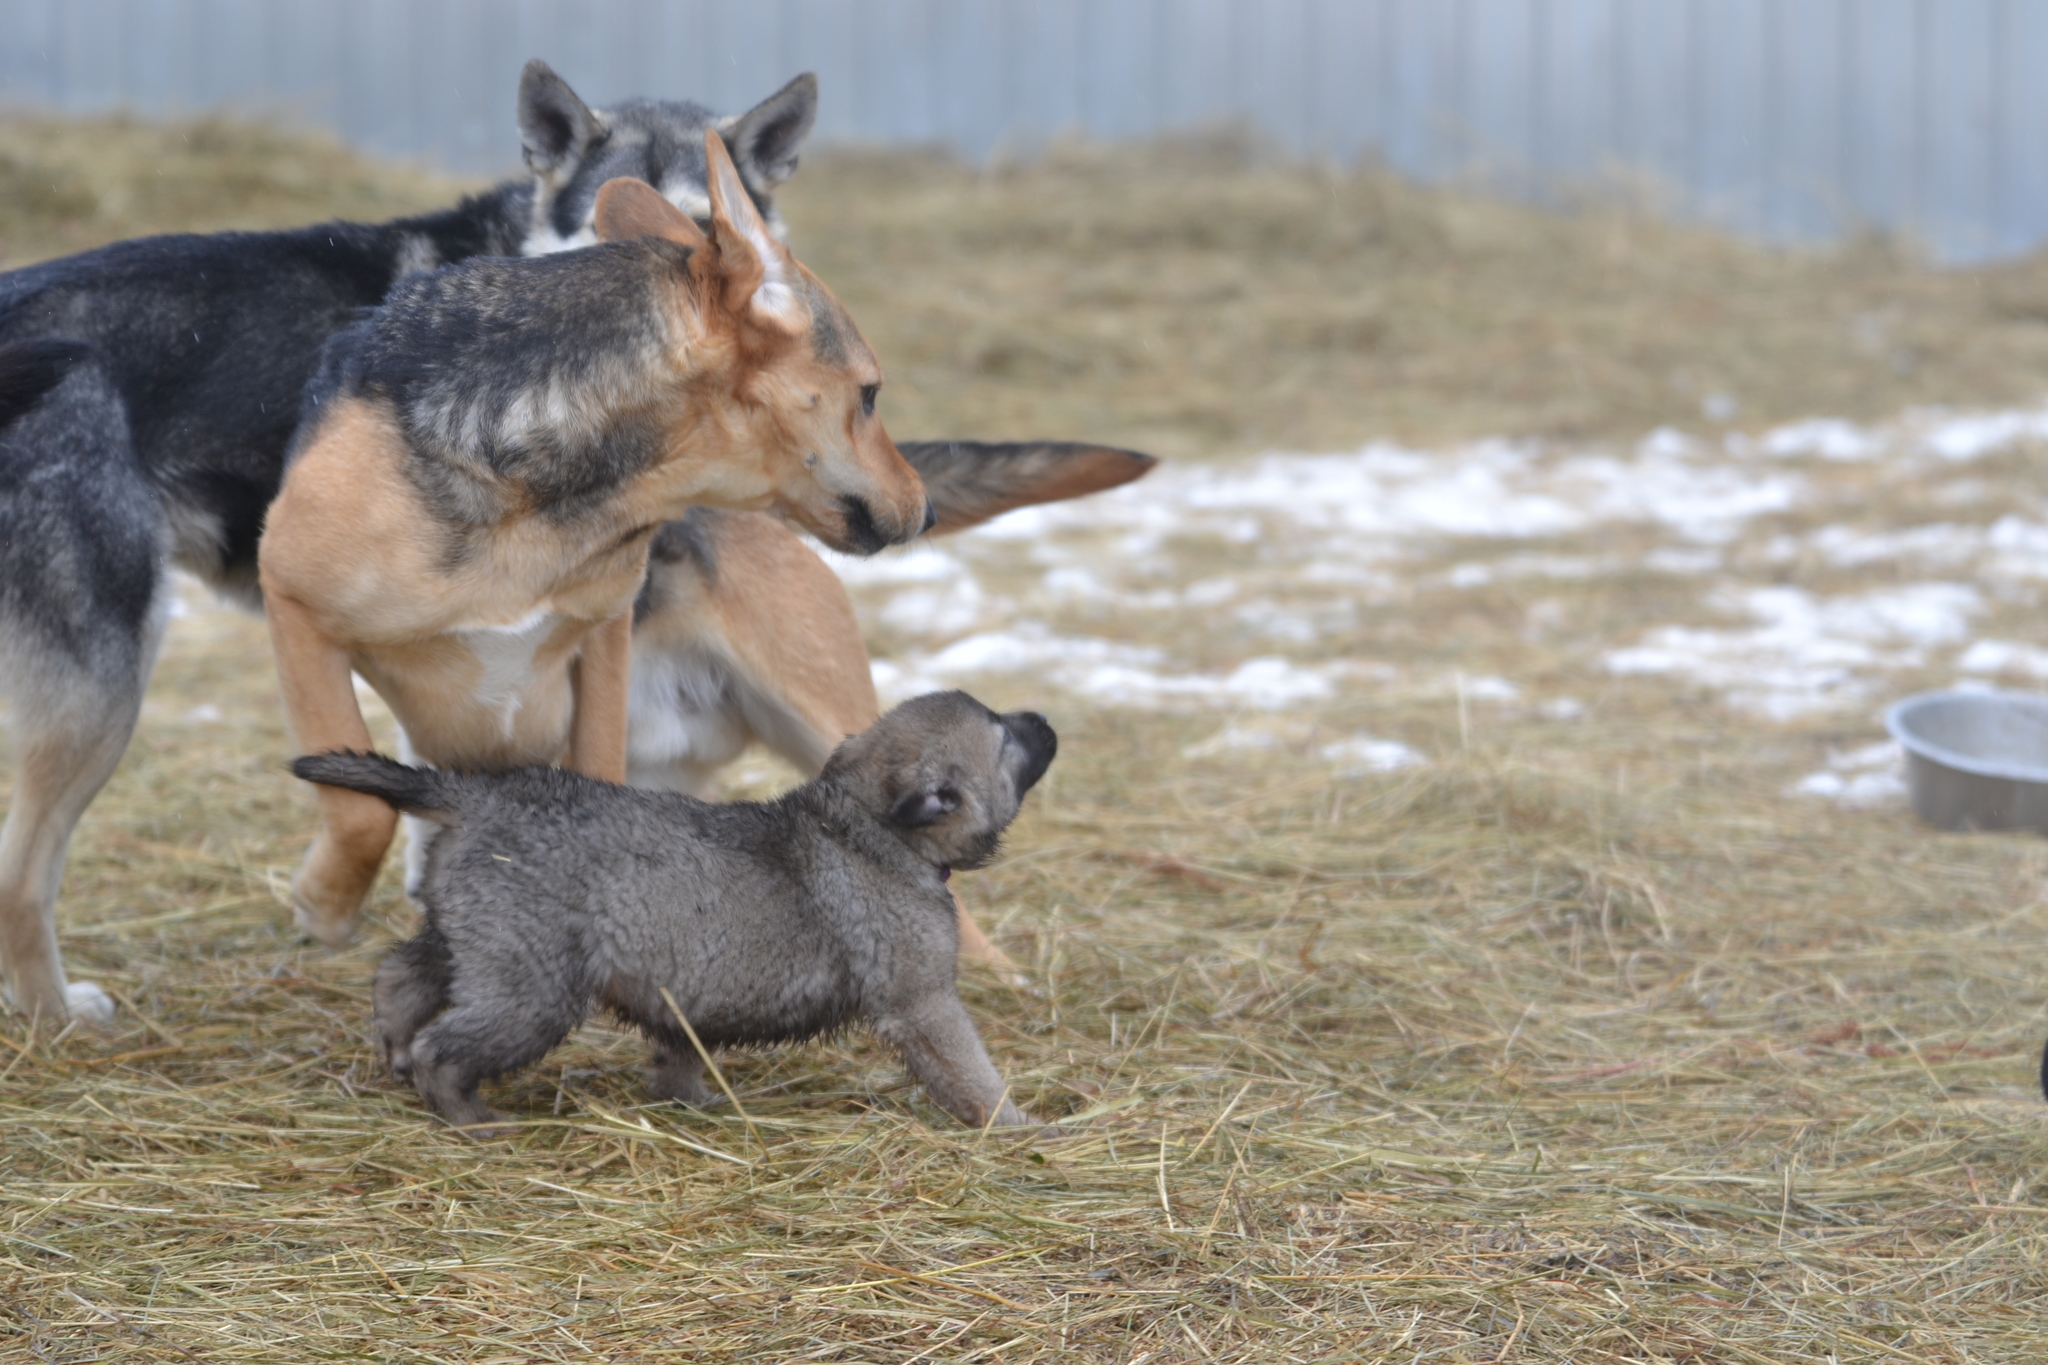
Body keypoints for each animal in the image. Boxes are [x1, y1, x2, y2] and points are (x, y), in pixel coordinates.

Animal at [258, 133, 929, 957]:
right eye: (868, 395)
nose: (927, 508)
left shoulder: (603, 638)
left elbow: (596, 772)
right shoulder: (294, 609)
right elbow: (360, 810)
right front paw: (325, 905)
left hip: (825, 717)